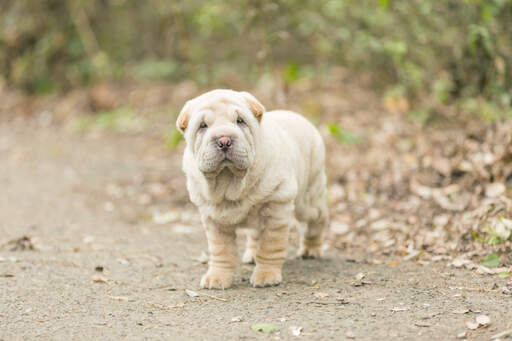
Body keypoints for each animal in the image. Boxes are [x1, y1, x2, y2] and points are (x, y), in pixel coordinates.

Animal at [176, 89, 328, 288]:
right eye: (203, 126)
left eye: (240, 121)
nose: (224, 140)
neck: (229, 182)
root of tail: (301, 118)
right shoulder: (212, 217)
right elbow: (221, 250)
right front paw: (217, 277)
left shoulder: (276, 208)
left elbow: (270, 245)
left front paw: (266, 275)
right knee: (256, 234)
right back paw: (252, 255)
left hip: (307, 201)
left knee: (318, 218)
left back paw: (311, 249)